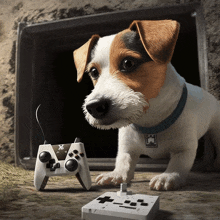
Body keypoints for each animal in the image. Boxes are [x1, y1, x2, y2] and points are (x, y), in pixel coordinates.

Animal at [73, 19, 220, 190]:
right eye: (93, 72)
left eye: (128, 63)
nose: (94, 107)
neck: (149, 121)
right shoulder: (127, 148)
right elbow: (123, 160)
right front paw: (116, 174)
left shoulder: (184, 148)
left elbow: (179, 163)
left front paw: (168, 176)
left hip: (216, 129)